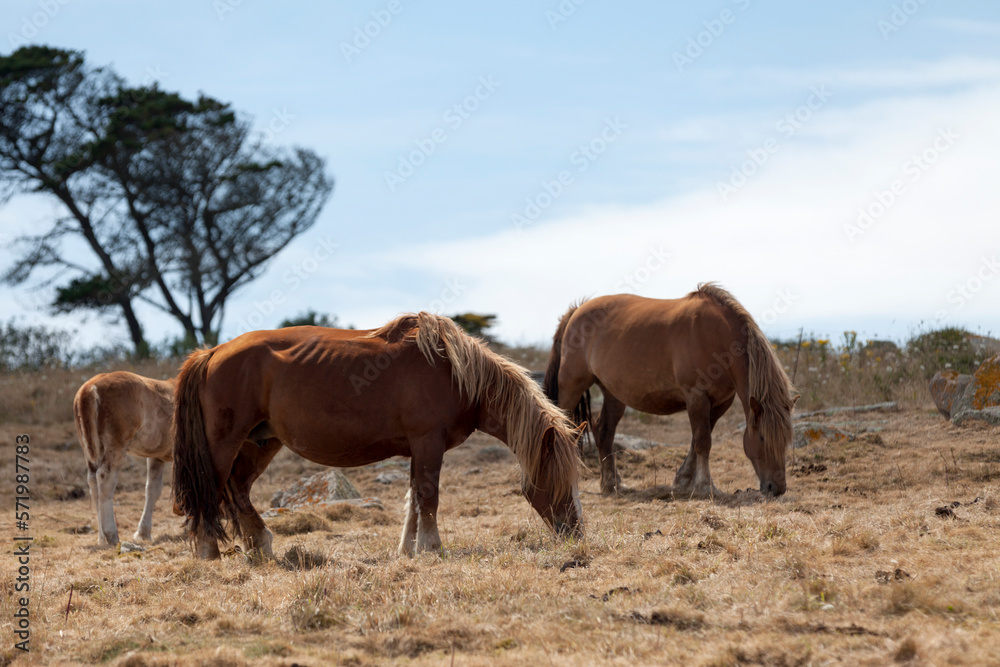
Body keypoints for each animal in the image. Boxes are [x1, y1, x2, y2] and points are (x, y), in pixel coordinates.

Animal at [73, 370, 176, 548]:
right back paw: (111, 534)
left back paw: (101, 537)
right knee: (105, 478)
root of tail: (89, 388)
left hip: (91, 450)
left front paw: (143, 533)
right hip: (116, 446)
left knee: (93, 482)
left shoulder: (156, 456)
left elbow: (153, 489)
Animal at [170, 314, 580, 560]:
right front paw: (431, 547)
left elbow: (414, 499)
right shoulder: (428, 442)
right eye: (557, 479)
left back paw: (260, 546)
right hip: (224, 443)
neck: (454, 372)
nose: (575, 533)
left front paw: (409, 549)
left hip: (261, 442)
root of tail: (212, 352)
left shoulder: (418, 448)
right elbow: (428, 497)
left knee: (237, 489)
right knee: (210, 491)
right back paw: (209, 552)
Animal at [544, 284, 792, 498]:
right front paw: (706, 486)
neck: (717, 337)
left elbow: (696, 441)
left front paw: (683, 481)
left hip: (614, 395)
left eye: (786, 438)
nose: (777, 488)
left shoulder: (719, 403)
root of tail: (576, 311)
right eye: (762, 437)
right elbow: (703, 441)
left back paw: (612, 484)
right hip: (572, 386)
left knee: (604, 431)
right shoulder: (696, 397)